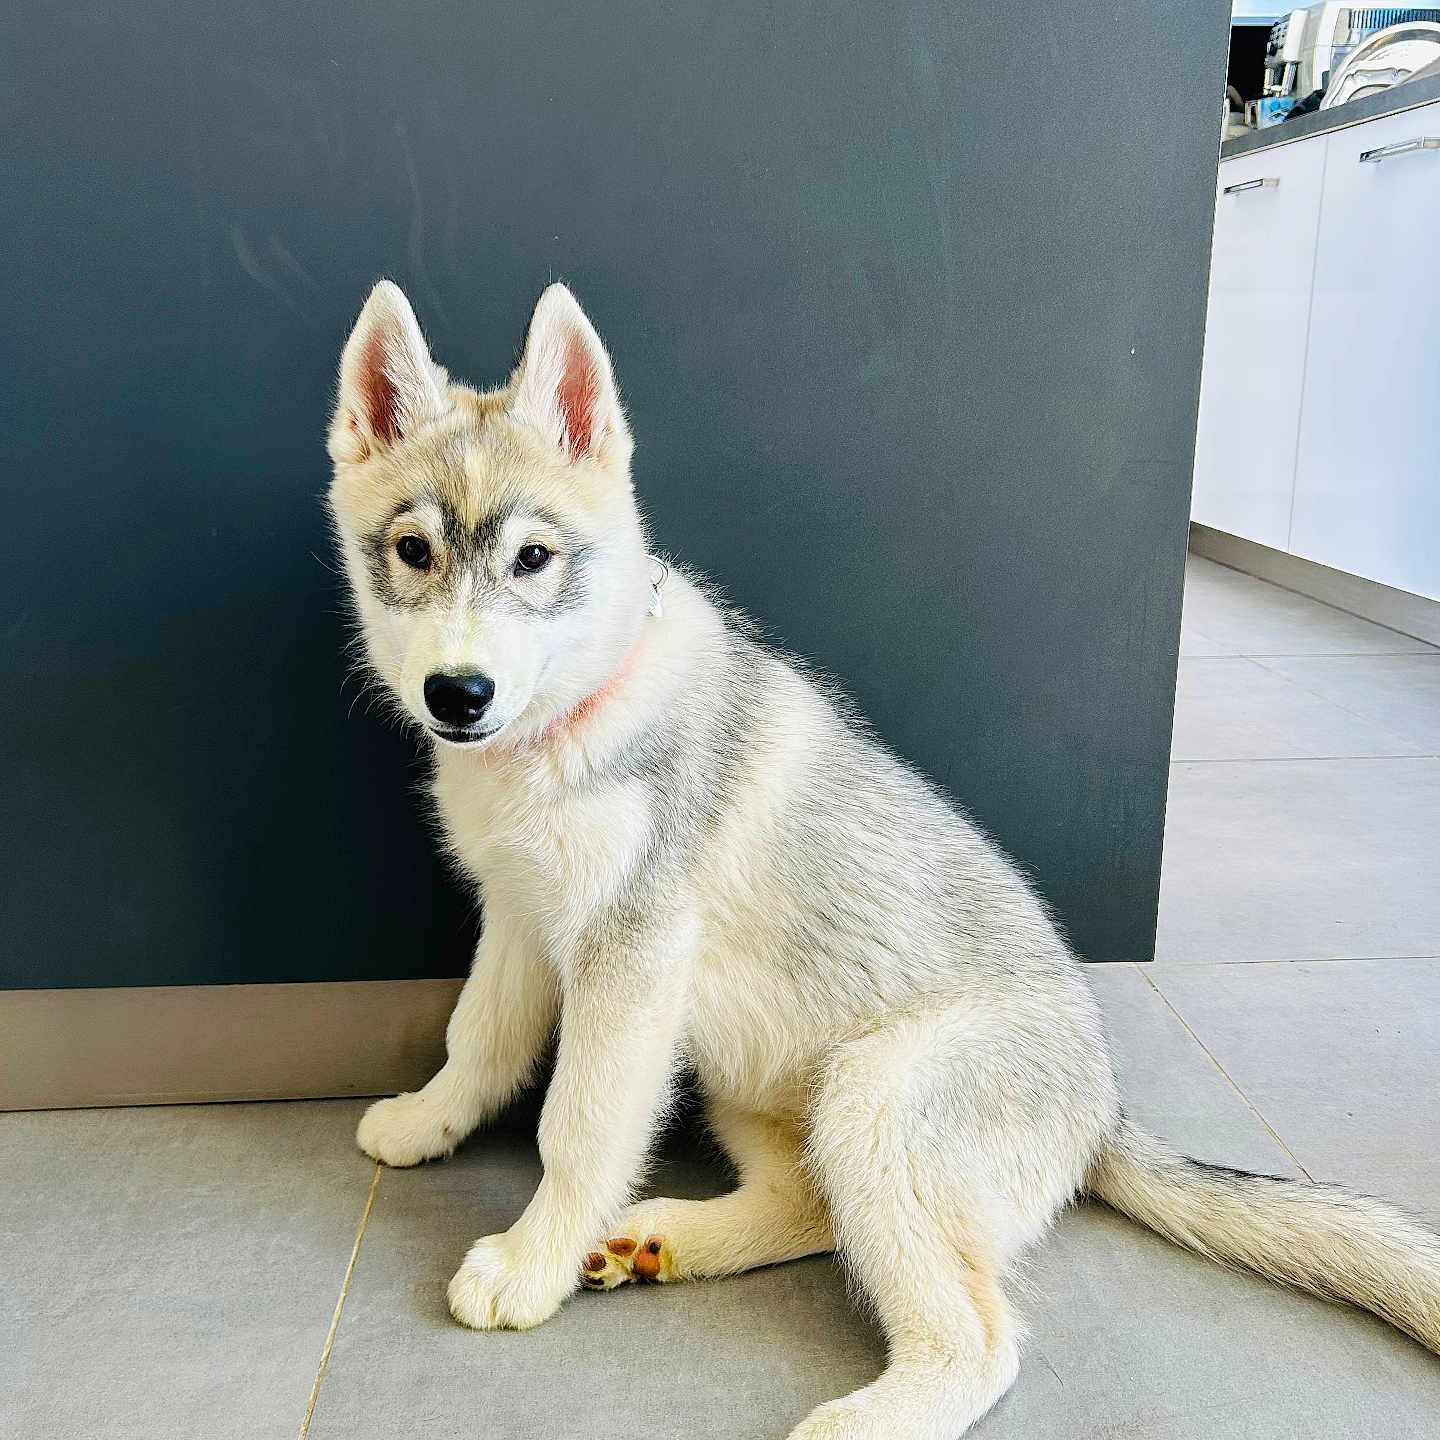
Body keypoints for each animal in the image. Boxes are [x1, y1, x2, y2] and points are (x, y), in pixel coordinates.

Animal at [327, 280, 1440, 1439]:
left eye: (534, 561)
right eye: (413, 551)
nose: (458, 697)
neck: (568, 724)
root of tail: (1103, 1115)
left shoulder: (629, 957)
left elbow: (576, 1127)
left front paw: (529, 1263)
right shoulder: (519, 920)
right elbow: (478, 1040)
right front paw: (429, 1121)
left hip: (876, 1096)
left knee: (979, 1341)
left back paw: (853, 1416)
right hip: (755, 1078)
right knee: (814, 1207)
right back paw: (665, 1239)